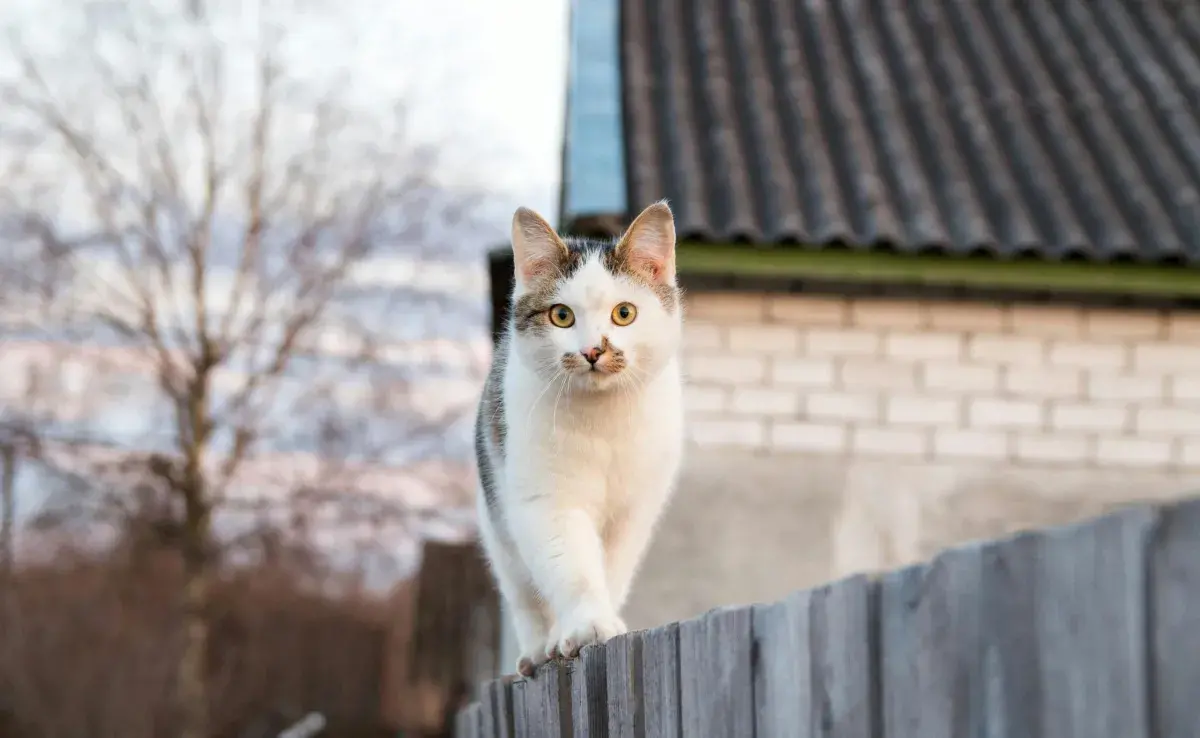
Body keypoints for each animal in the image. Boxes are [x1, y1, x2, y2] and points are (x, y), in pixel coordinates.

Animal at [475, 200, 686, 676]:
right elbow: (570, 566)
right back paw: (538, 648)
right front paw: (586, 625)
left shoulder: (634, 511)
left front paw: (602, 621)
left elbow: (612, 569)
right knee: (524, 594)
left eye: (624, 313)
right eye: (561, 316)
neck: (601, 419)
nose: (593, 350)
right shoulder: (544, 502)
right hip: (497, 525)